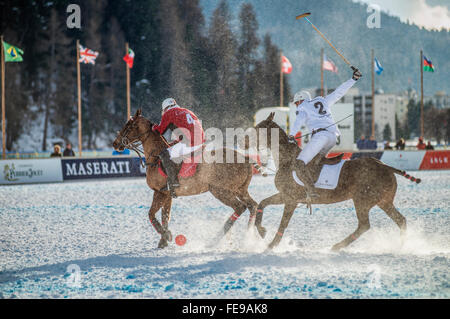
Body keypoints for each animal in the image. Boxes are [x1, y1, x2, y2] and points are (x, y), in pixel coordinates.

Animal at [113, 109, 260, 249]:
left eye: (128, 125)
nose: (115, 144)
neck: (155, 157)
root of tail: (247, 159)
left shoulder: (160, 192)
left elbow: (151, 214)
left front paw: (166, 235)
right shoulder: (168, 194)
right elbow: (165, 216)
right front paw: (163, 241)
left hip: (220, 190)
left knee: (240, 207)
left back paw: (215, 240)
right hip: (240, 190)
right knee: (253, 205)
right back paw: (248, 237)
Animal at [251, 114, 420, 251]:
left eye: (258, 128)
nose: (246, 140)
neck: (287, 160)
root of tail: (386, 166)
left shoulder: (291, 199)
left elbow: (283, 224)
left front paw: (270, 246)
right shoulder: (285, 195)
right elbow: (262, 203)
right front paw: (261, 231)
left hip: (362, 200)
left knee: (364, 225)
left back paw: (337, 246)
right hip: (384, 201)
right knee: (400, 220)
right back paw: (402, 246)